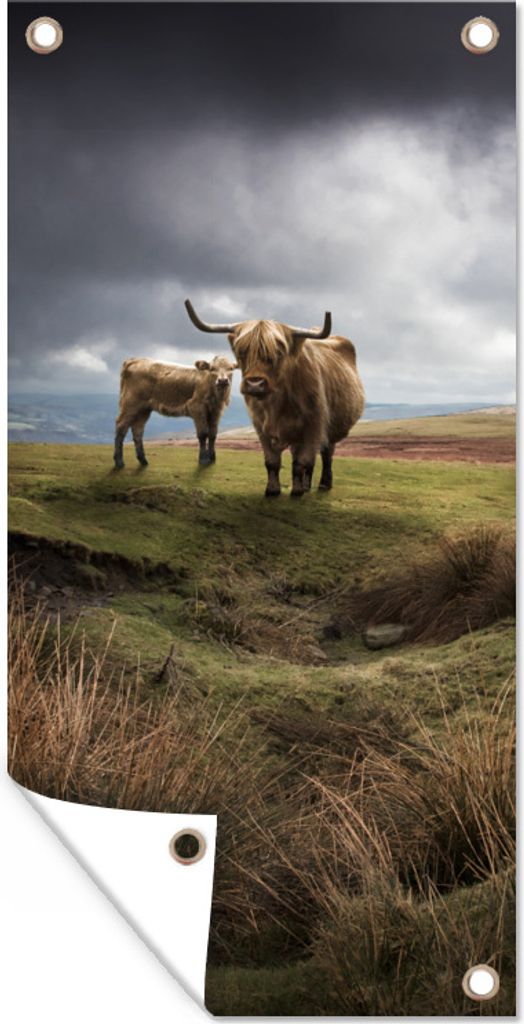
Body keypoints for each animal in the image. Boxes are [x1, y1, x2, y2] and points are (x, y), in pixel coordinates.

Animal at [184, 300, 365, 497]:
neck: (276, 404)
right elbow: (272, 462)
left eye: (278, 353)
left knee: (326, 454)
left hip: (330, 429)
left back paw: (324, 484)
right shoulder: (260, 427)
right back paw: (307, 485)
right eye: (241, 351)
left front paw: (297, 492)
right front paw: (273, 490)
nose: (255, 384)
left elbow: (301, 462)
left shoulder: (314, 425)